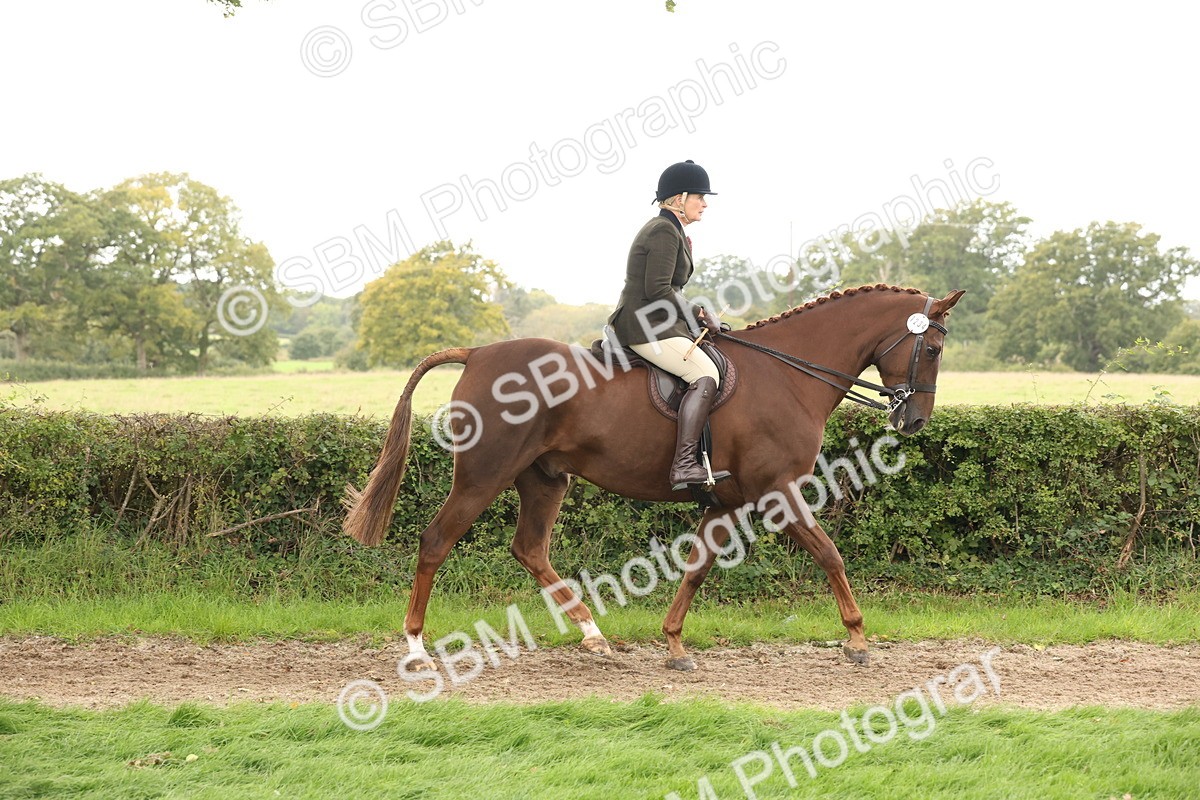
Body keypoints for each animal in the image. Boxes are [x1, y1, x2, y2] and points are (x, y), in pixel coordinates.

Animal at [343, 284, 965, 672]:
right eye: (933, 348)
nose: (914, 420)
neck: (789, 374)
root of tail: (477, 354)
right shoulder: (779, 493)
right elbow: (830, 554)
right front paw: (858, 638)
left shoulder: (726, 501)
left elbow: (696, 569)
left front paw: (673, 645)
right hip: (482, 476)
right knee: (435, 541)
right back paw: (416, 648)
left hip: (544, 479)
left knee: (530, 549)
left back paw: (593, 634)